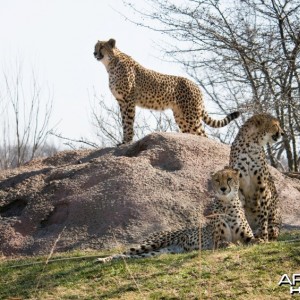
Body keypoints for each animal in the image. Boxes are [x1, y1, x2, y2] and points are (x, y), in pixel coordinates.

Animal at [92, 38, 240, 144]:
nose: (94, 53)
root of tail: (197, 86)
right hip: (181, 117)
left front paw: (127, 141)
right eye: (95, 46)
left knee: (203, 135)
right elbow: (124, 122)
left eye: (102, 47)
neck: (111, 64)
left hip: (190, 116)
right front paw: (123, 141)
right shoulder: (121, 101)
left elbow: (128, 122)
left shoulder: (128, 100)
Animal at [230, 112, 284, 241]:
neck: (251, 143)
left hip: (274, 224)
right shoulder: (238, 187)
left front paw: (264, 238)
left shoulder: (263, 187)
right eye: (276, 125)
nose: (283, 133)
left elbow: (263, 216)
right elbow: (241, 213)